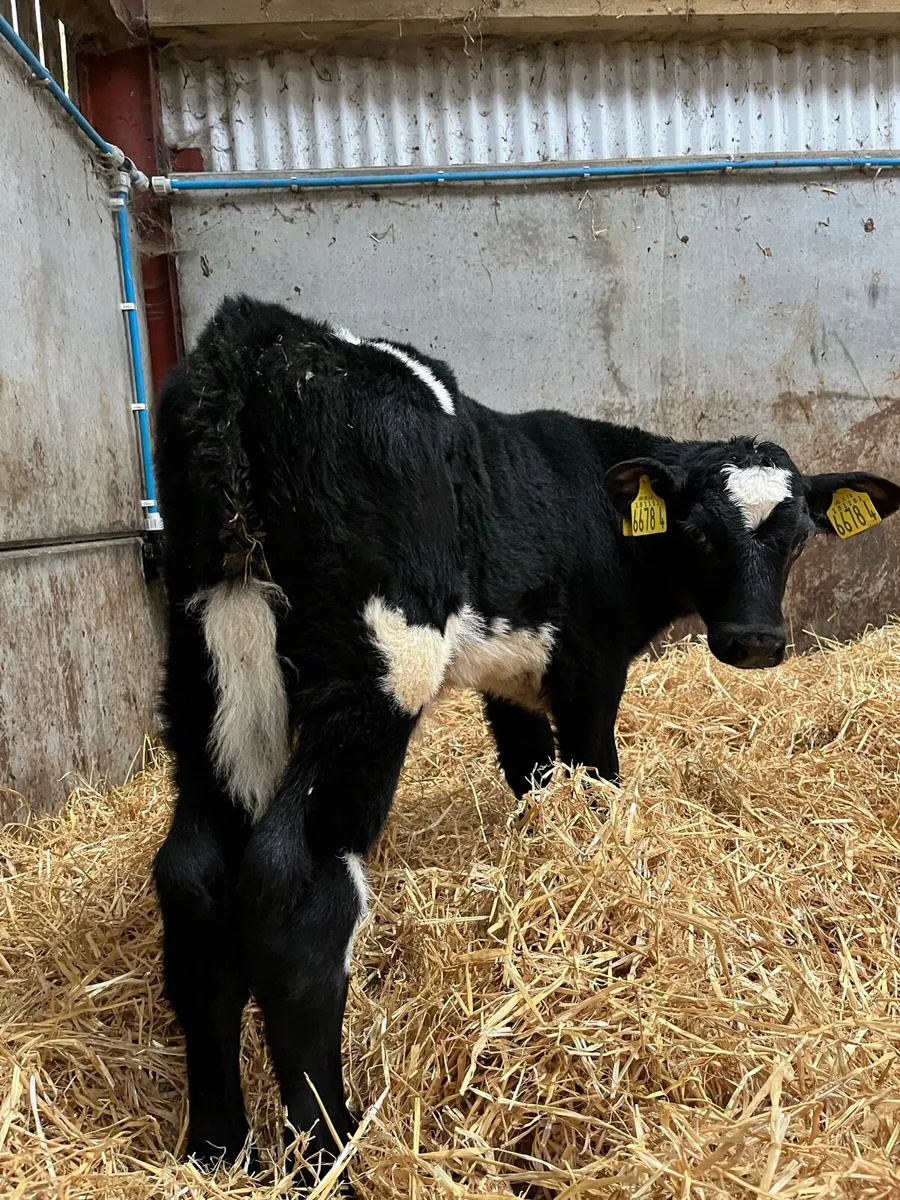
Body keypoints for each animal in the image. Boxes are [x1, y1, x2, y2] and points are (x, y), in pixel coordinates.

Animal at [152, 294, 899, 1186]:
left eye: (797, 537)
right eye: (699, 533)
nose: (754, 641)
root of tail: (260, 339)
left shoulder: (511, 680)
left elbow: (534, 779)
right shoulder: (589, 667)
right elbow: (595, 781)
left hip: (203, 668)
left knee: (194, 874)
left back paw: (217, 1149)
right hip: (375, 674)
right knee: (296, 885)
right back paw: (325, 1155)